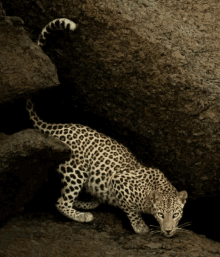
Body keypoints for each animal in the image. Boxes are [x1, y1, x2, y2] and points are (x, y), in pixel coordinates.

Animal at [27, 18, 188, 237]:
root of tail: (57, 127)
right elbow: (129, 208)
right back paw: (82, 215)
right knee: (61, 201)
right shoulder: (119, 182)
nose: (169, 231)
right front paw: (140, 226)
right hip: (75, 170)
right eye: (161, 215)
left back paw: (89, 202)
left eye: (176, 214)